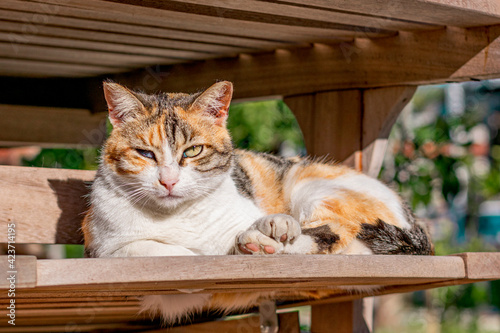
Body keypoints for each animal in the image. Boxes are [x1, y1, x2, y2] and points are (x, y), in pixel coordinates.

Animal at [83, 80, 434, 322]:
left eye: (193, 151)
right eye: (145, 153)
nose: (168, 181)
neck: (178, 215)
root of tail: (414, 219)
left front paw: (269, 229)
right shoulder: (106, 251)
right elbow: (166, 252)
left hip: (310, 185)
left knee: (337, 234)